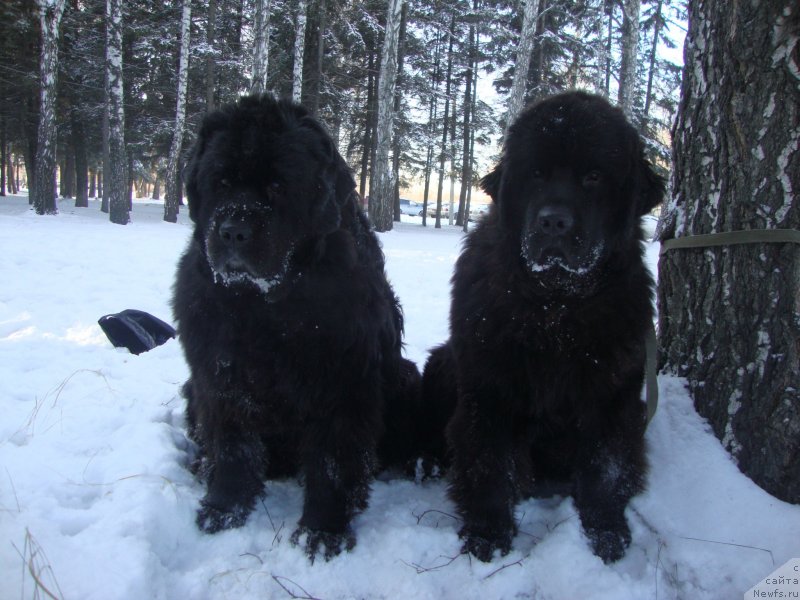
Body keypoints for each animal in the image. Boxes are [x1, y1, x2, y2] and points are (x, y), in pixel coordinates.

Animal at [173, 92, 422, 556]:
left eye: (277, 186)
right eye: (221, 182)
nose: (233, 231)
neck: (266, 309)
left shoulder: (342, 386)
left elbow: (332, 463)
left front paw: (323, 531)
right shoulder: (220, 374)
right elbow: (232, 447)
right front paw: (224, 509)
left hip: (404, 378)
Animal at [422, 91, 664, 564]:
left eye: (593, 176)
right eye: (535, 174)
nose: (553, 221)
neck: (555, 307)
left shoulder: (613, 396)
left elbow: (606, 467)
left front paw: (605, 532)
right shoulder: (489, 388)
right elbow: (488, 462)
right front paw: (487, 533)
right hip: (444, 363)